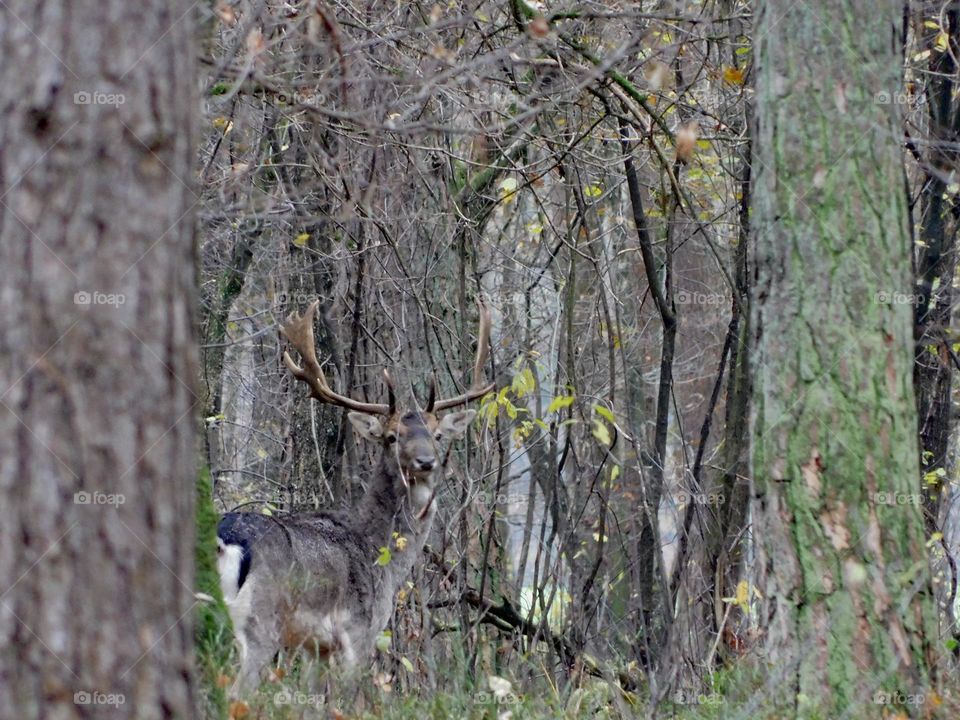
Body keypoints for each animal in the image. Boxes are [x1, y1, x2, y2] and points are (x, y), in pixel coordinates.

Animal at [216, 298, 493, 695]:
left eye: (438, 435)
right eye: (392, 437)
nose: (426, 462)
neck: (381, 556)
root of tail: (227, 539)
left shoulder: (316, 646)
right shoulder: (358, 630)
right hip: (261, 624)